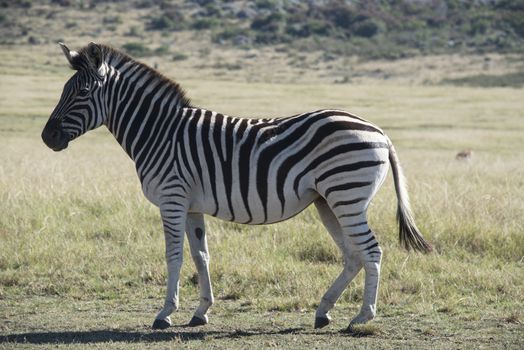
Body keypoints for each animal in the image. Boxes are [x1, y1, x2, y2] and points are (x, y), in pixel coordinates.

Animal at [43, 42, 432, 332]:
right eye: (62, 90)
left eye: (82, 93)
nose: (47, 138)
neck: (159, 132)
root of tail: (380, 132)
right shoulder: (191, 204)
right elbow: (201, 255)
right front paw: (201, 312)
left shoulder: (171, 198)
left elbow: (174, 255)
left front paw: (164, 314)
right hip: (328, 201)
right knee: (353, 256)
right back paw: (323, 312)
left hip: (347, 196)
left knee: (371, 251)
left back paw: (362, 317)